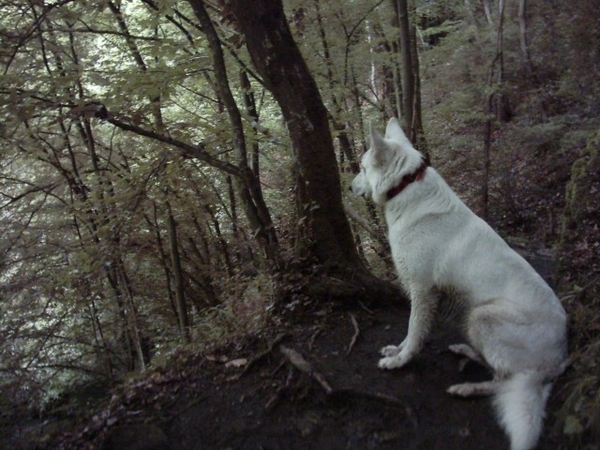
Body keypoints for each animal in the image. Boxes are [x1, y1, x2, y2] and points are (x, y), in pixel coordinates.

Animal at [352, 118, 568, 450]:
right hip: (473, 319)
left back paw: (467, 387)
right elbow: (409, 332)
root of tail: (560, 357)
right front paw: (396, 350)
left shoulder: (422, 290)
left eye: (363, 168)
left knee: (503, 382)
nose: (350, 187)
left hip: (483, 315)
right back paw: (463, 350)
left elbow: (415, 331)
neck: (407, 185)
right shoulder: (422, 291)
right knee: (497, 370)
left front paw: (401, 360)